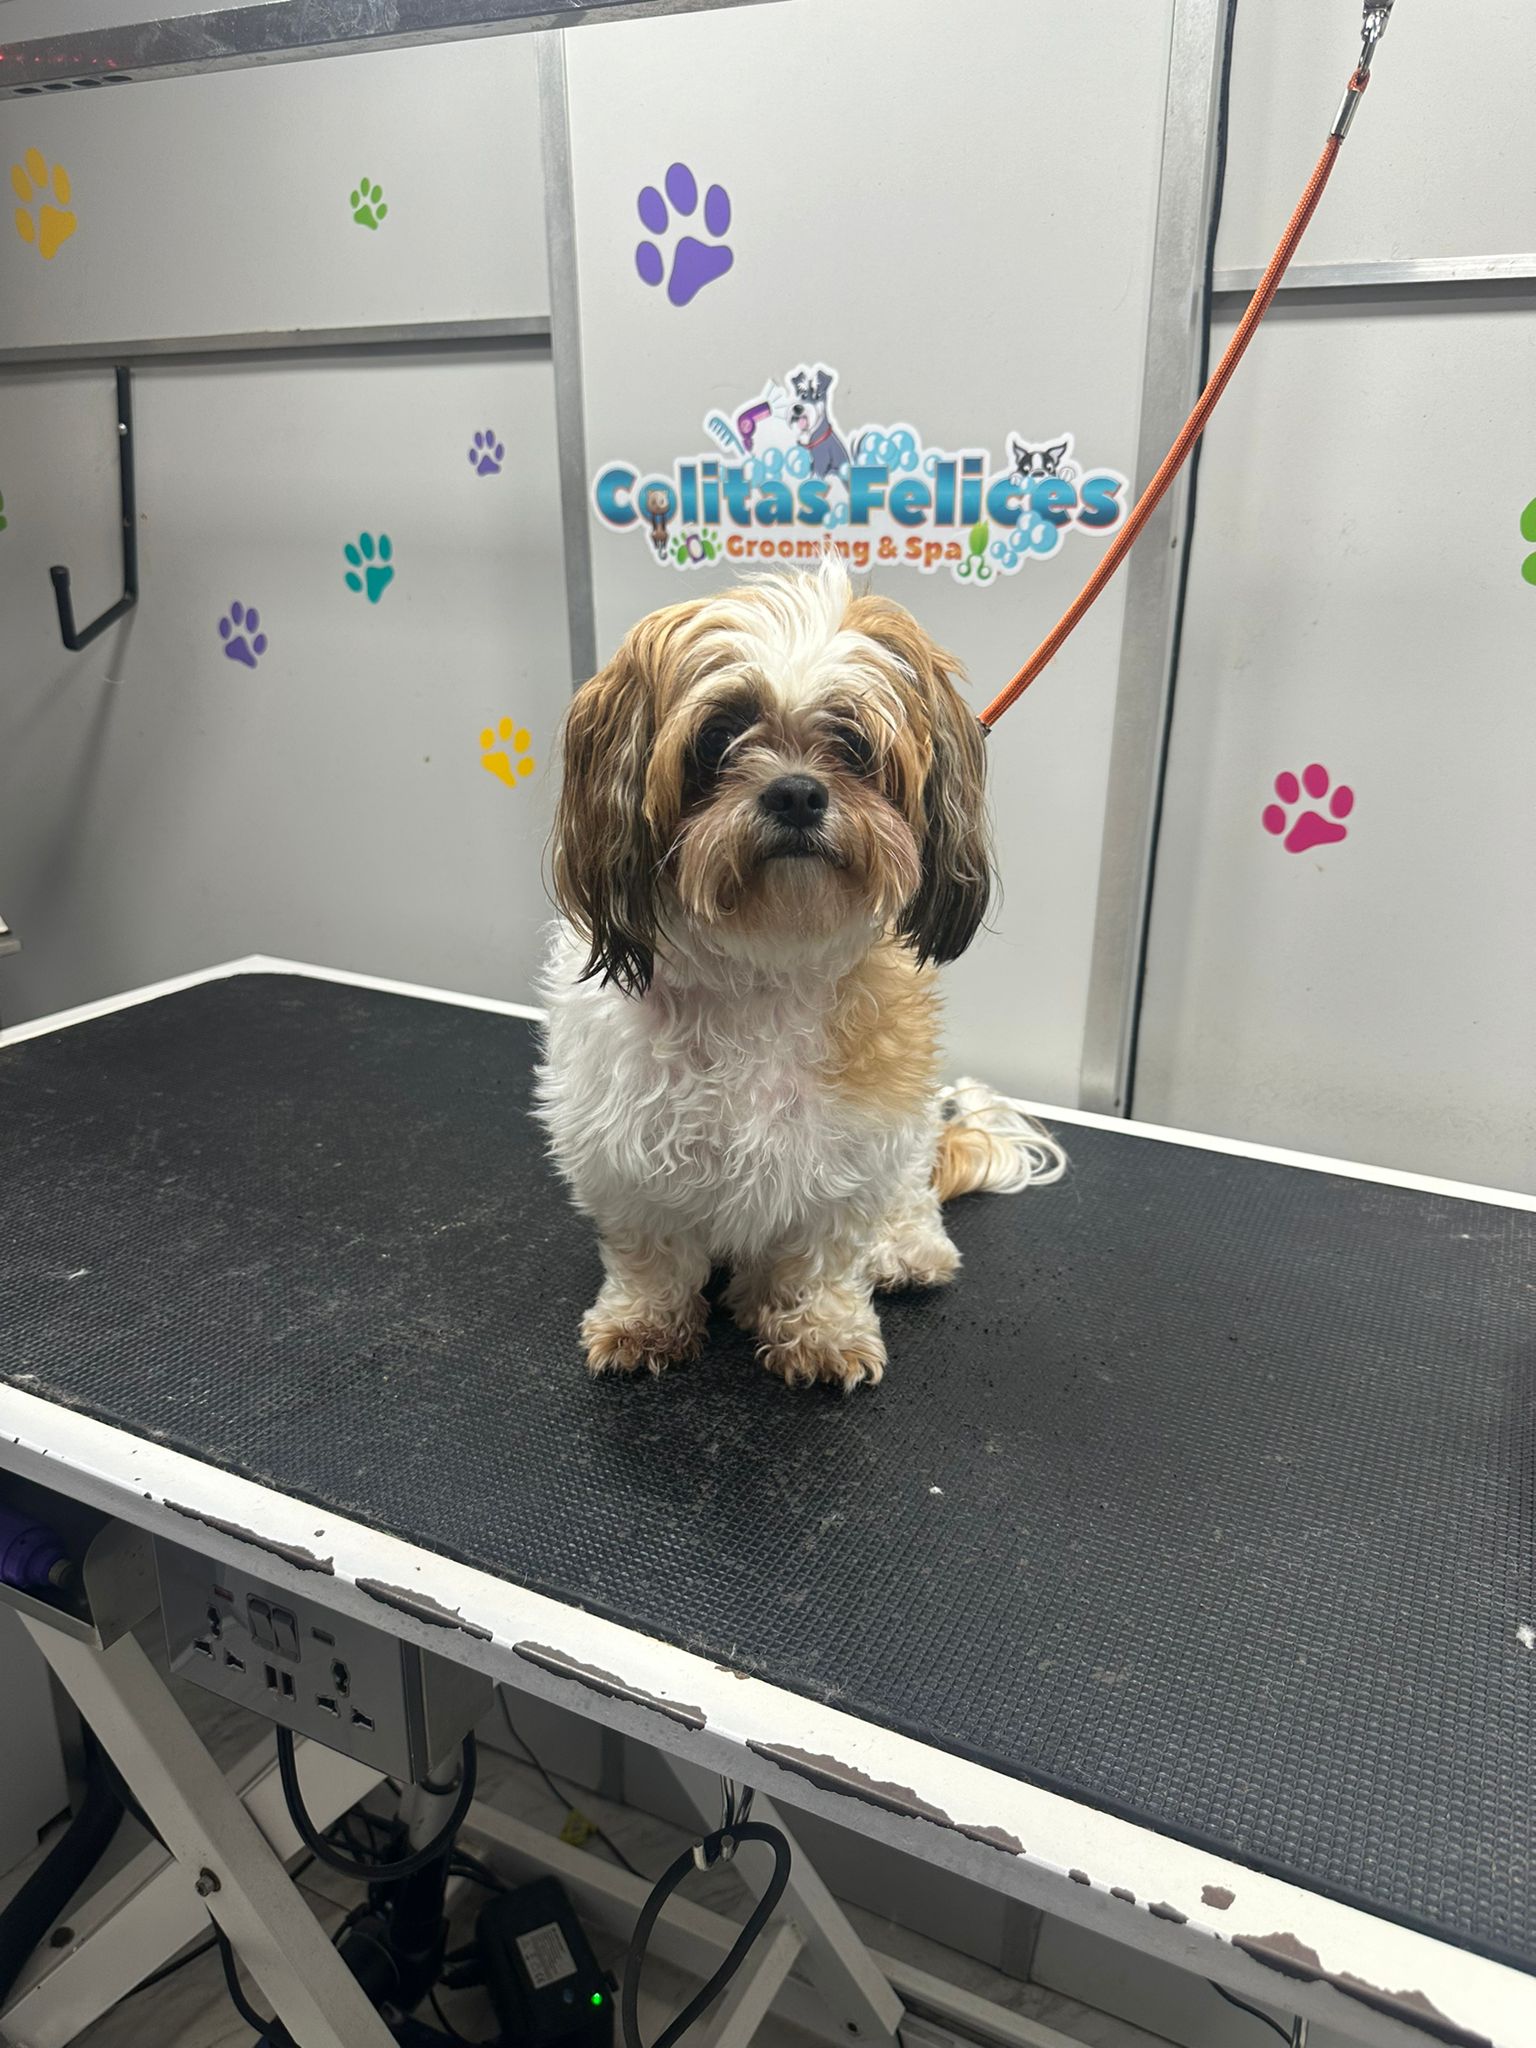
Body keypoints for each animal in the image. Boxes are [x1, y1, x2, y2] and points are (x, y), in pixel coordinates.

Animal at [536, 556, 1065, 1391]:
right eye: (718, 737)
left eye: (851, 741)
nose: (794, 790)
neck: (763, 967)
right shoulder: (622, 1152)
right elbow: (651, 1254)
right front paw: (645, 1322)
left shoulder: (851, 1151)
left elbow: (819, 1257)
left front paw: (817, 1328)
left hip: (909, 1135)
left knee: (911, 1194)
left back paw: (908, 1250)